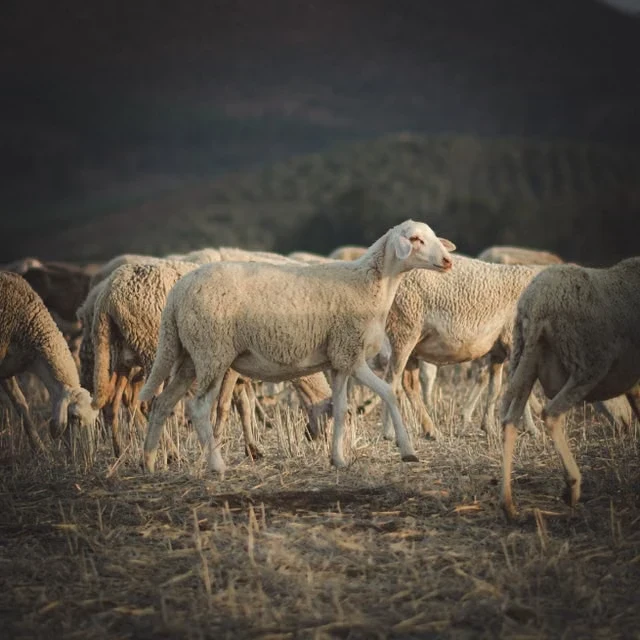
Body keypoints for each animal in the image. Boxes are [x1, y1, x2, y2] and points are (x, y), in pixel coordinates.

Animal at [139, 219, 455, 474]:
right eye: (415, 239)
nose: (448, 261)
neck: (371, 285)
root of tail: (176, 295)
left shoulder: (339, 360)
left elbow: (341, 409)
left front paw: (338, 460)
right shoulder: (351, 353)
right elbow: (389, 392)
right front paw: (408, 451)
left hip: (189, 356)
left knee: (162, 403)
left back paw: (149, 463)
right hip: (212, 352)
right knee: (198, 407)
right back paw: (216, 466)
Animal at [499, 257, 640, 519]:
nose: (625, 425)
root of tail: (537, 304)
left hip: (524, 356)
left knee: (510, 420)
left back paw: (508, 504)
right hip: (587, 365)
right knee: (551, 414)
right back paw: (572, 487)